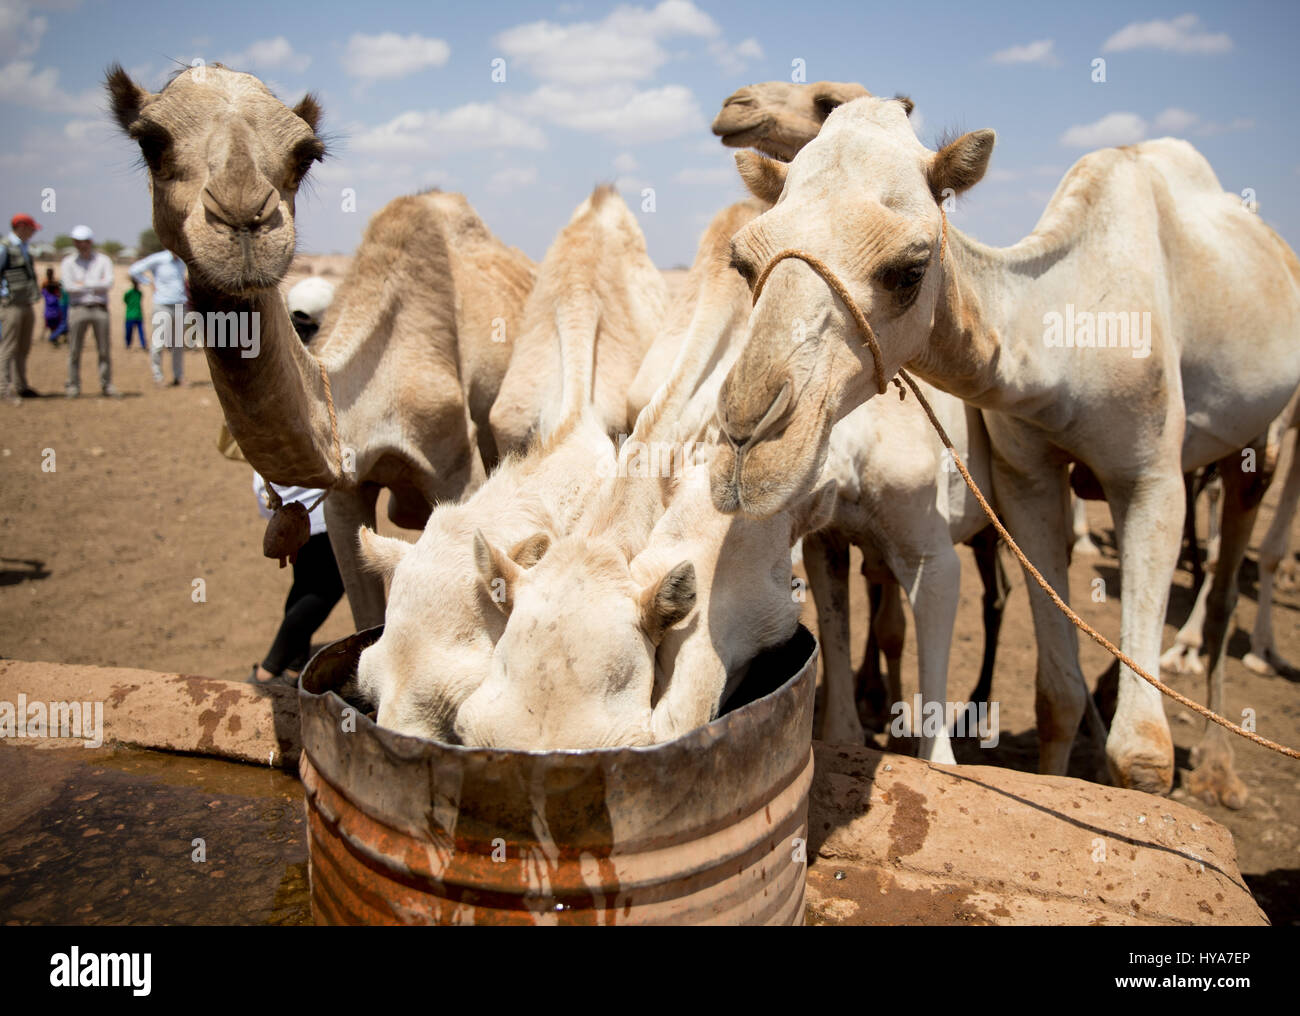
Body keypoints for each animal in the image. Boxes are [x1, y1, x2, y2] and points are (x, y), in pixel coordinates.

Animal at [104, 65, 535, 628]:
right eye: (150, 140)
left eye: (306, 154)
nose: (244, 217)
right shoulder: (344, 496)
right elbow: (365, 614)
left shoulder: (456, 466)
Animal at [712, 97, 1300, 810]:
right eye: (744, 263)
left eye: (909, 270)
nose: (746, 441)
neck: (1066, 339)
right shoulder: (1028, 477)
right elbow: (1054, 694)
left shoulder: (1150, 477)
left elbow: (1143, 755)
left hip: (1259, 438)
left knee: (1222, 583)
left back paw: (1218, 766)